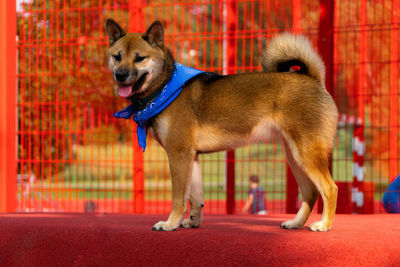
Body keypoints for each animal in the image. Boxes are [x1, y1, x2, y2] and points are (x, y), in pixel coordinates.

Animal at [105, 18, 338, 232]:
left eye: (140, 58)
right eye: (117, 57)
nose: (120, 75)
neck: (166, 87)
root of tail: (312, 78)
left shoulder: (178, 155)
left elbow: (179, 197)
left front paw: (170, 223)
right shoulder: (191, 157)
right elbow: (195, 197)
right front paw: (193, 221)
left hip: (306, 155)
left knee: (329, 188)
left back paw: (324, 225)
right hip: (295, 157)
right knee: (311, 193)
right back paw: (295, 223)